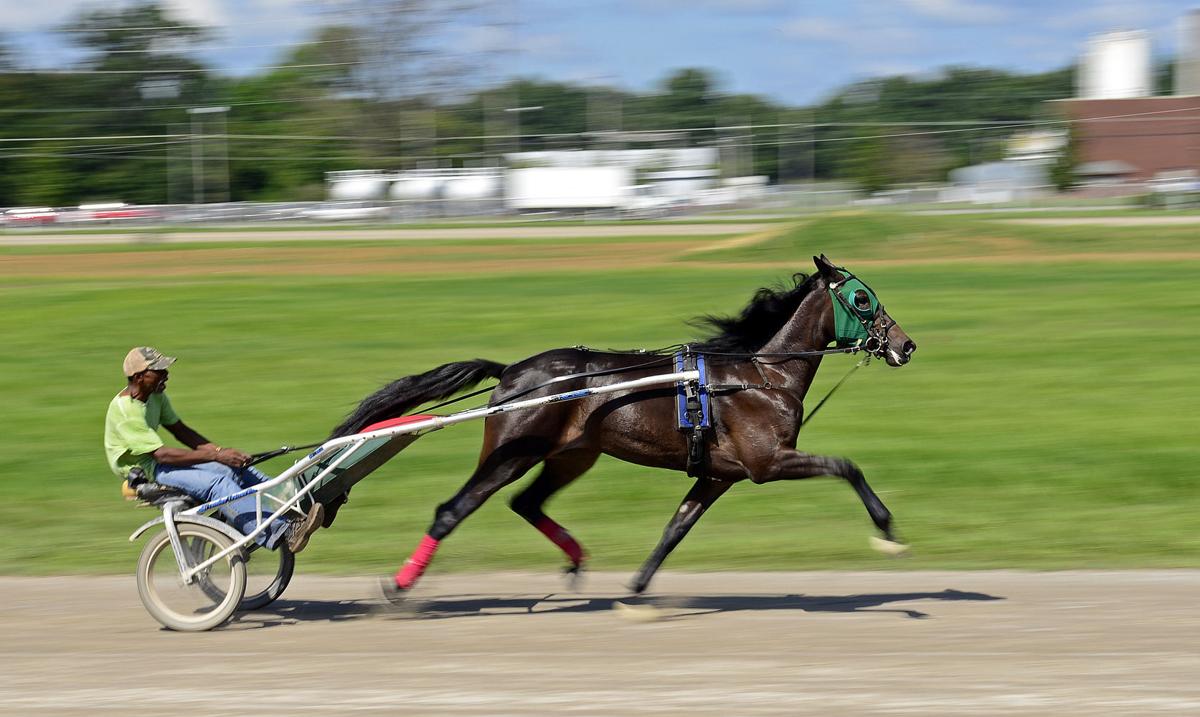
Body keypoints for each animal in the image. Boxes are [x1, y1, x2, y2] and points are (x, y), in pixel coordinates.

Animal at [331, 255, 916, 599]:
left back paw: (575, 562)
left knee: (527, 503)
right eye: (862, 298)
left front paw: (636, 587)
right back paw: (400, 586)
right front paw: (887, 530)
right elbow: (846, 466)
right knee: (453, 510)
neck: (760, 376)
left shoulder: (720, 474)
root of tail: (514, 371)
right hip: (512, 452)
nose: (905, 344)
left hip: (571, 455)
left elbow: (677, 527)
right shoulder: (766, 462)